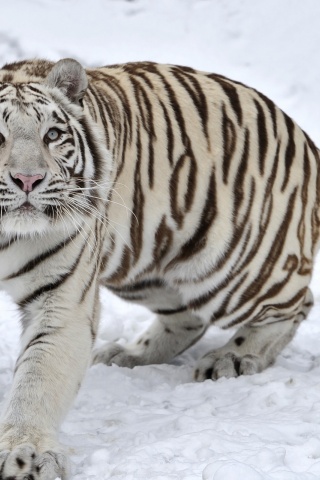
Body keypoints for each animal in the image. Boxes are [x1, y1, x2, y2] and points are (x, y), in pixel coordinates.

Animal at [0, 58, 318, 478]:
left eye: (51, 134)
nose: (28, 179)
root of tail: (303, 136)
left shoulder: (60, 299)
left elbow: (37, 380)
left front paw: (26, 455)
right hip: (142, 268)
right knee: (187, 318)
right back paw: (129, 354)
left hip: (231, 268)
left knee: (297, 302)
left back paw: (232, 358)